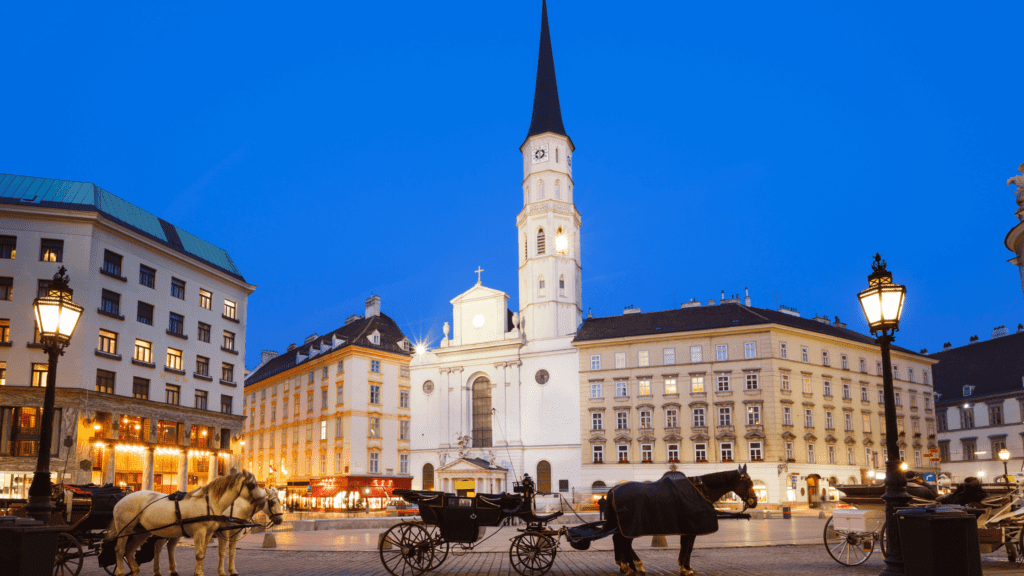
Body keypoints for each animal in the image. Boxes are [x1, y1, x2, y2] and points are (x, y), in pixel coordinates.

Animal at [107, 471, 266, 573]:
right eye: (252, 485)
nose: (263, 500)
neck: (209, 503)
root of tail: (122, 499)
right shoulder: (200, 532)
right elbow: (200, 554)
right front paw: (199, 573)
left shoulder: (209, 533)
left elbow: (203, 554)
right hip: (125, 530)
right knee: (120, 550)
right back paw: (120, 571)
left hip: (142, 532)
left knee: (129, 550)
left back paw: (135, 569)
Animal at [149, 485, 284, 573]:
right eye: (272, 502)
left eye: (280, 501)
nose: (280, 520)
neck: (236, 508)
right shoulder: (224, 533)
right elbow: (222, 552)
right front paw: (221, 572)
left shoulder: (235, 534)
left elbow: (232, 552)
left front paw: (232, 570)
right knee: (158, 547)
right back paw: (157, 570)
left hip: (175, 532)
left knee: (170, 547)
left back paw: (172, 569)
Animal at [602, 463, 757, 573]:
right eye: (749, 482)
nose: (754, 501)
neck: (700, 489)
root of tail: (613, 489)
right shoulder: (692, 528)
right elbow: (689, 547)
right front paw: (687, 567)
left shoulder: (687, 527)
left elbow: (684, 546)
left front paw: (683, 565)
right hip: (631, 526)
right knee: (622, 541)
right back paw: (628, 565)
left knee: (621, 541)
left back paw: (629, 565)